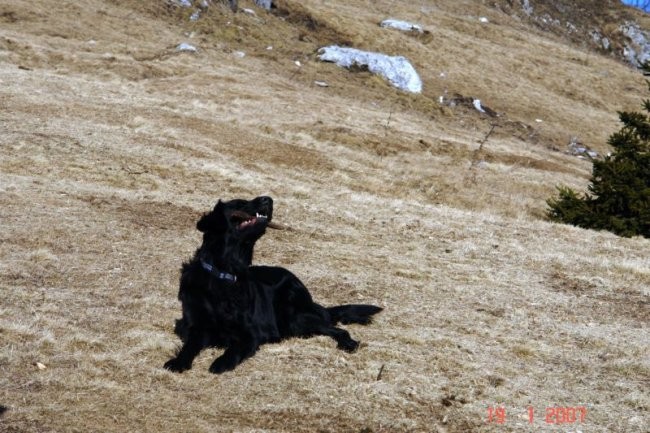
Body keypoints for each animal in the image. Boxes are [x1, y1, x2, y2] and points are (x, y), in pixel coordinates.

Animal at [165, 197, 382, 372]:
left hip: (294, 316)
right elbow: (189, 346)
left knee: (337, 329)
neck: (226, 272)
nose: (268, 199)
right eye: (239, 203)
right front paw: (178, 362)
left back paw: (348, 343)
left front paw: (221, 363)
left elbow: (234, 349)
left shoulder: (251, 333)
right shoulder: (196, 326)